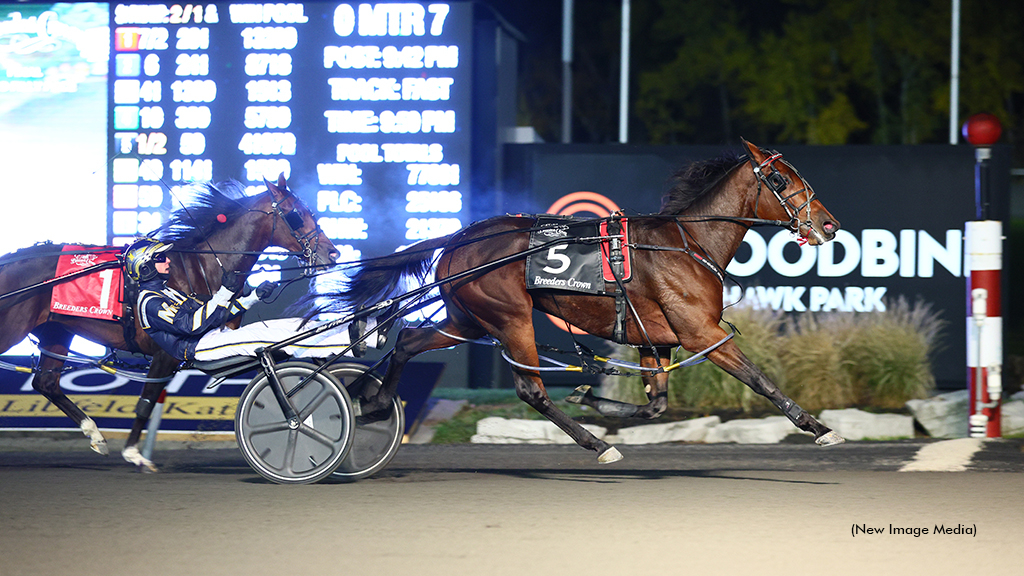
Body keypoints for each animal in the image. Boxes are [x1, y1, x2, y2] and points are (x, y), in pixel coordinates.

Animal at [0, 174, 335, 467]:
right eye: (296, 214)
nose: (332, 253)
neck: (199, 268)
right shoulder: (165, 350)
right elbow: (147, 400)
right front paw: (135, 454)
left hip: (57, 330)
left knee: (46, 382)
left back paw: (94, 434)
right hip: (12, 330)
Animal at [325, 140, 839, 461]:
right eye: (778, 179)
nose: (828, 224)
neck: (687, 243)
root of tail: (458, 237)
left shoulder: (656, 341)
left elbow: (655, 406)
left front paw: (592, 396)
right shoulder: (701, 334)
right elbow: (759, 380)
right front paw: (818, 427)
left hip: (467, 317)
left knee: (409, 340)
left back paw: (374, 401)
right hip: (510, 317)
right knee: (530, 390)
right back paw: (598, 446)